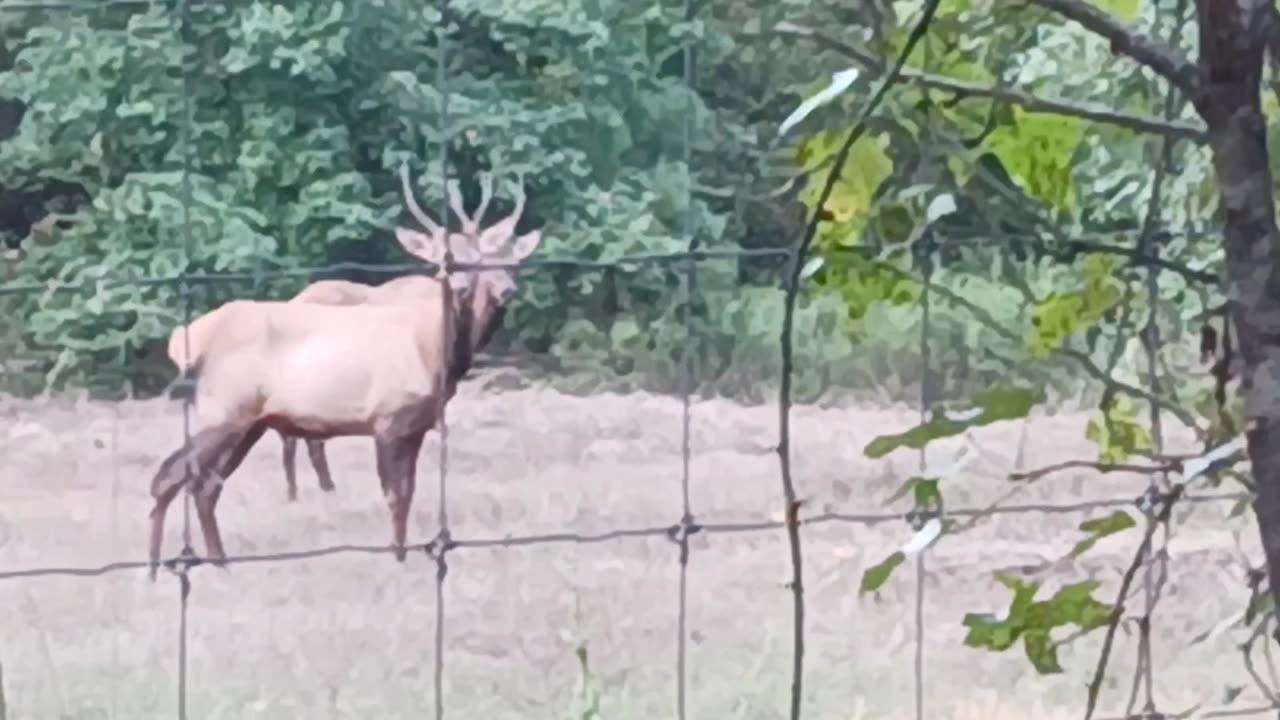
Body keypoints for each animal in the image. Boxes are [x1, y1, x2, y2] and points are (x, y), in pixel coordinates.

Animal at [153, 159, 540, 573]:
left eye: (476, 258)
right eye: (441, 258)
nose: (470, 287)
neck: (431, 350)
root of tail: (184, 340)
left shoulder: (416, 425)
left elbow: (408, 493)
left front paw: (401, 556)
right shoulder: (386, 417)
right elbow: (393, 495)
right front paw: (395, 559)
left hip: (247, 422)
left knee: (206, 484)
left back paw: (219, 565)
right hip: (223, 409)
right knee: (173, 476)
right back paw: (160, 569)